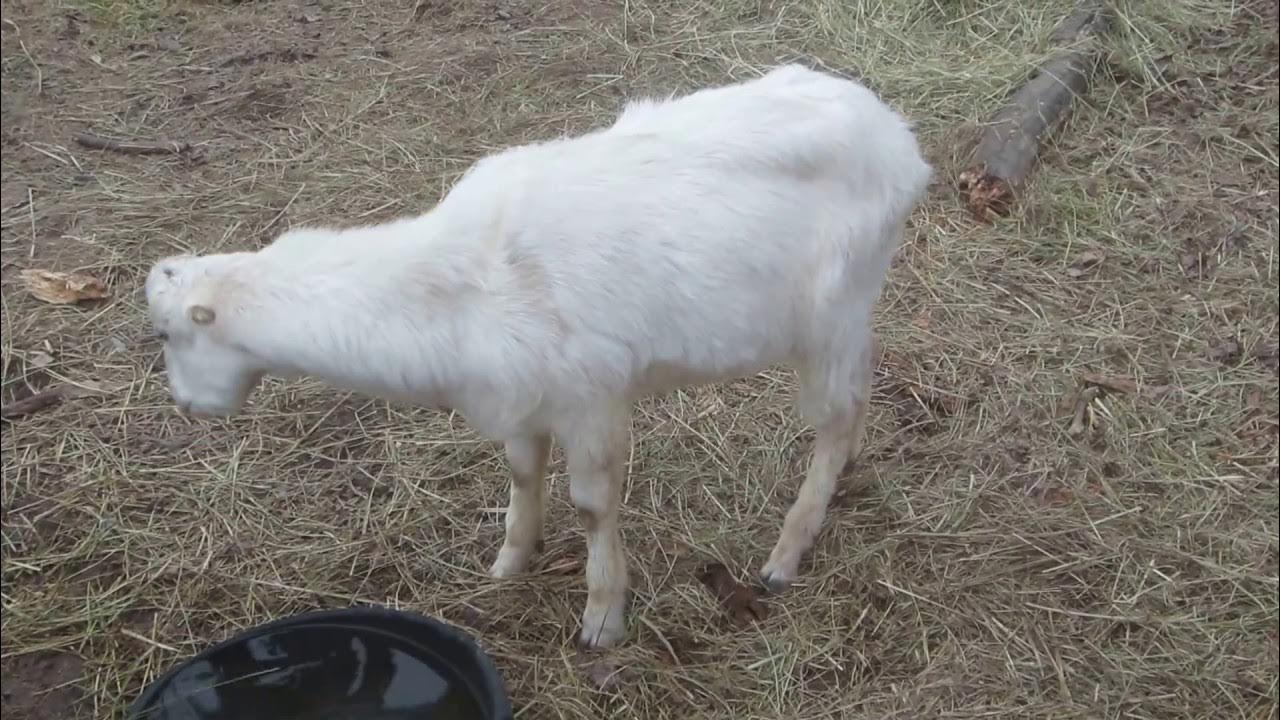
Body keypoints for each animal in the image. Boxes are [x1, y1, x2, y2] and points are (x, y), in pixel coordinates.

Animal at [143, 63, 932, 649]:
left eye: (167, 335)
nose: (185, 404)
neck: (452, 285)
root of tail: (894, 134)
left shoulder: (592, 399)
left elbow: (592, 505)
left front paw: (603, 616)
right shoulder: (519, 400)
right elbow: (523, 475)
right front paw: (509, 561)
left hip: (827, 314)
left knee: (833, 416)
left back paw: (786, 553)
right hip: (852, 311)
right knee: (862, 384)